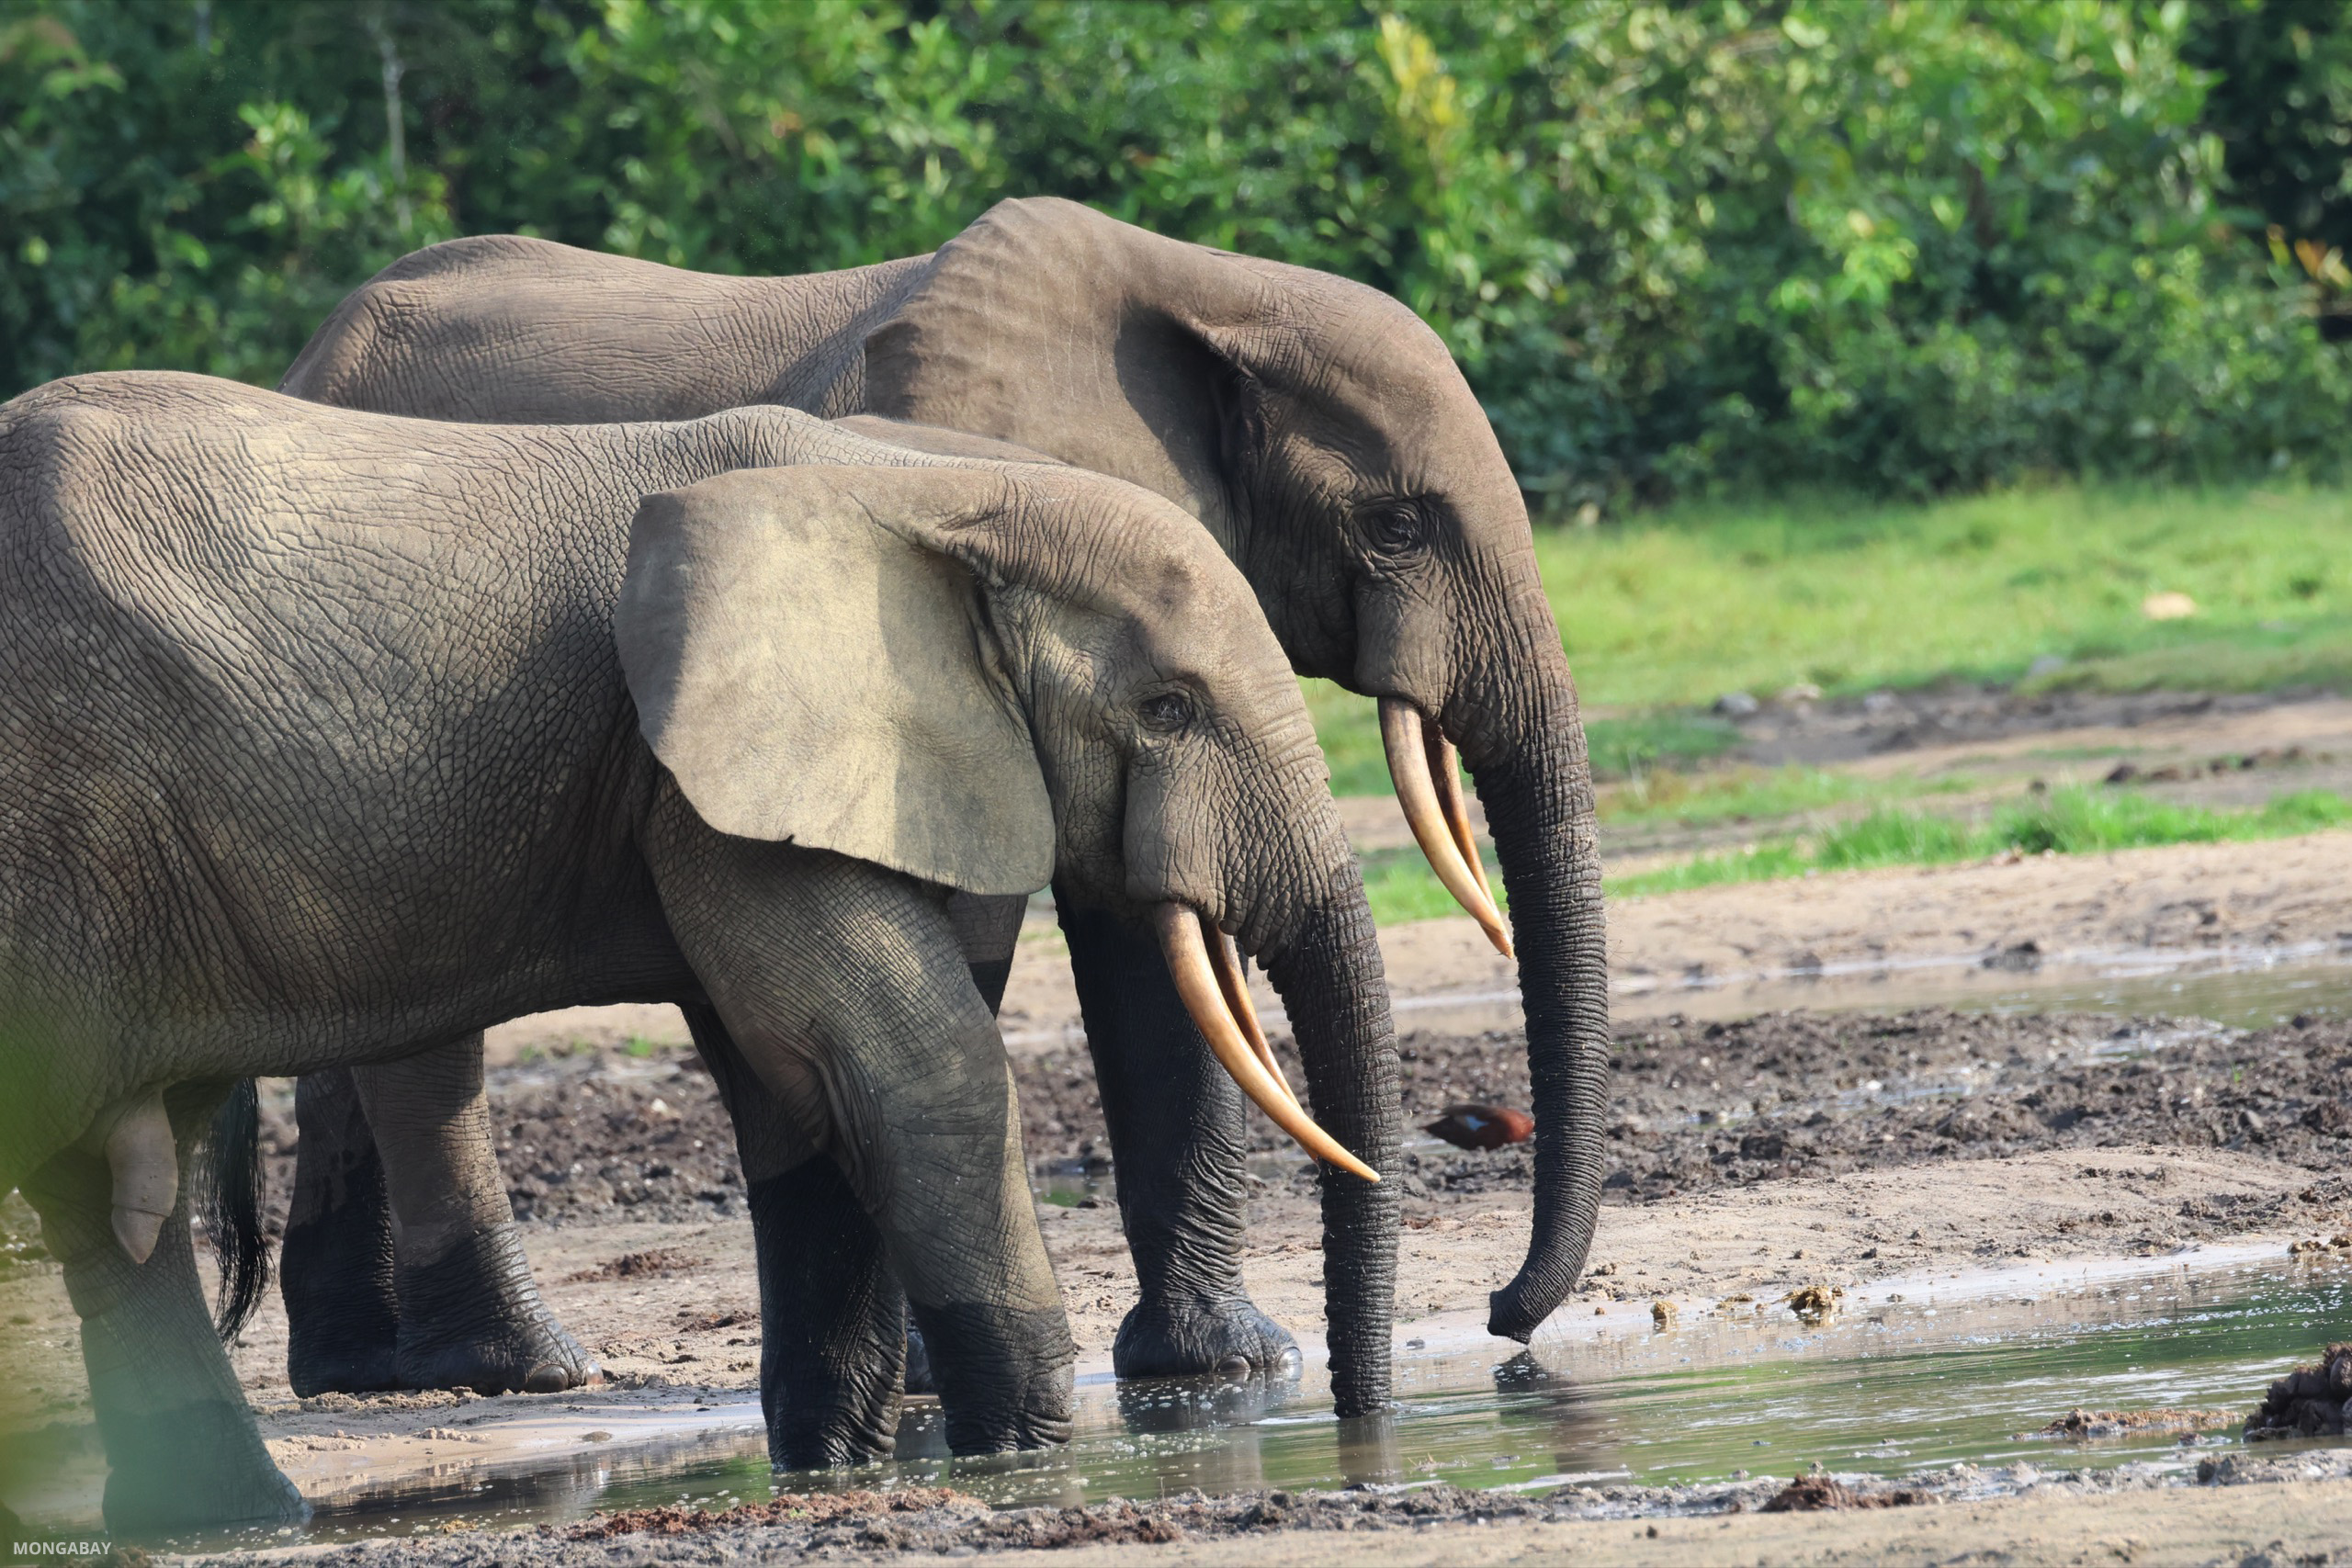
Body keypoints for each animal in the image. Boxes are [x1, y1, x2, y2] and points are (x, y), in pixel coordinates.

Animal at [0, 371, 1400, 1531]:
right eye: (1167, 709)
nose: (1358, 1444)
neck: (930, 494)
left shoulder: (729, 785)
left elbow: (803, 1100)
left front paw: (834, 1468)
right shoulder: (719, 782)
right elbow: (918, 1071)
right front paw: (1021, 1459)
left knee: (115, 1188)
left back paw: (230, 1517)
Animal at [273, 195, 1610, 1400]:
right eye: (1397, 525)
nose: (1505, 1316)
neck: (1205, 288)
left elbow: (1139, 939)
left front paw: (1223, 1366)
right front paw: (949, 1377)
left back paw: (367, 1369)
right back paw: (521, 1368)